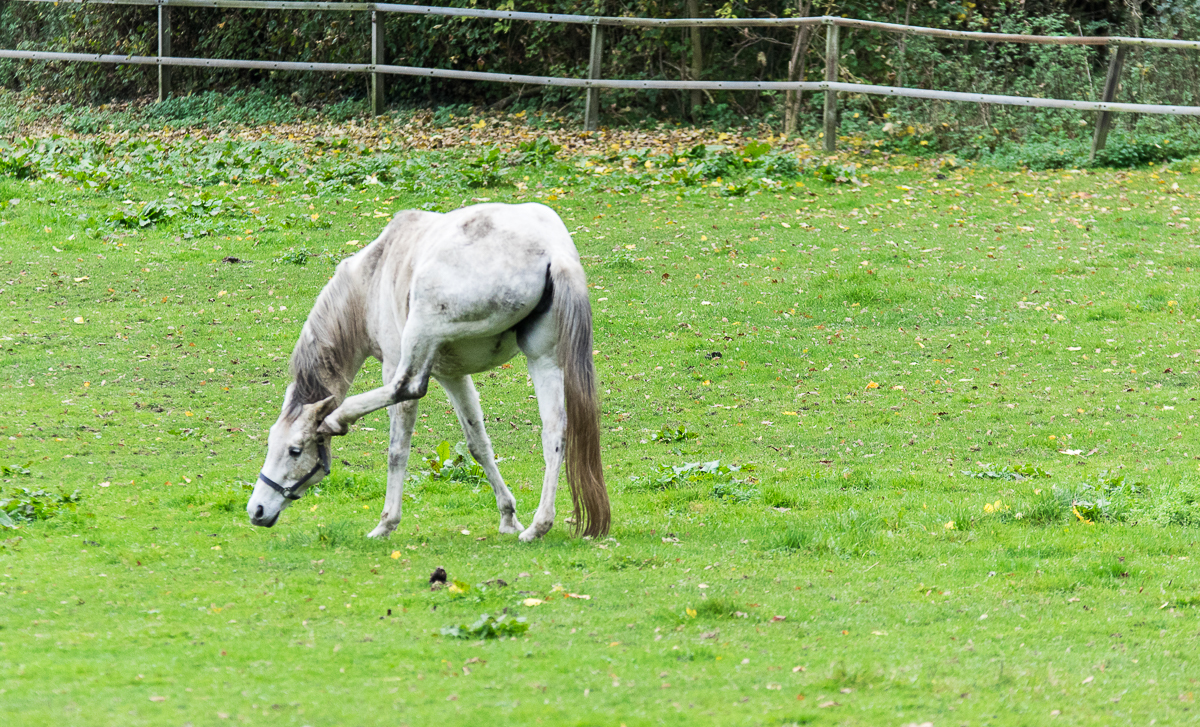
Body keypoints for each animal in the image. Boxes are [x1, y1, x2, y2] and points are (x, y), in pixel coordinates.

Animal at [250, 203, 609, 542]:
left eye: (295, 450)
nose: (257, 510)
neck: (372, 277)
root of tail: (552, 251)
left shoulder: (396, 363)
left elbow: (397, 449)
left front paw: (386, 523)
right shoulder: (453, 376)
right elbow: (478, 443)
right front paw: (508, 517)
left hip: (422, 329)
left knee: (408, 386)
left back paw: (339, 418)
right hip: (542, 358)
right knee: (554, 433)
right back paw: (538, 526)